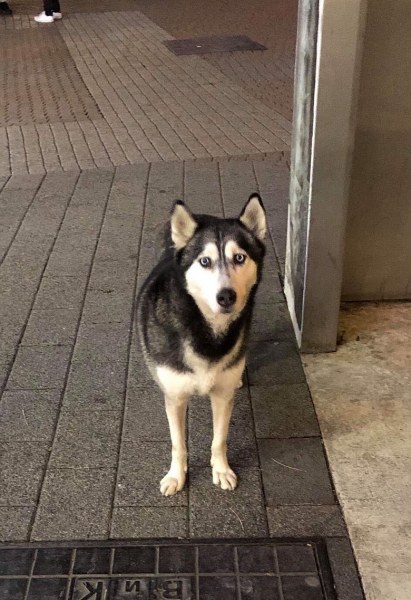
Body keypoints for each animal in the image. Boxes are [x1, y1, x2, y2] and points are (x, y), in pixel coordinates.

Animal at [137, 195, 268, 494]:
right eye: (205, 261)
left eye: (239, 257)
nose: (226, 296)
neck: (207, 332)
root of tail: (207, 214)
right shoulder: (175, 397)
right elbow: (178, 444)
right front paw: (176, 476)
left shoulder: (222, 395)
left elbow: (219, 439)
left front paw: (221, 470)